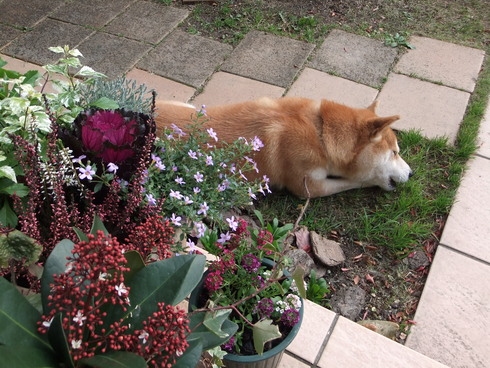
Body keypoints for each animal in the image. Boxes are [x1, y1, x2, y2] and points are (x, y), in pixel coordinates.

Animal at [154, 96, 414, 197]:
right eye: (394, 153)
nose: (412, 173)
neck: (320, 131)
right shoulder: (310, 187)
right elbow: (353, 182)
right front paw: (369, 181)